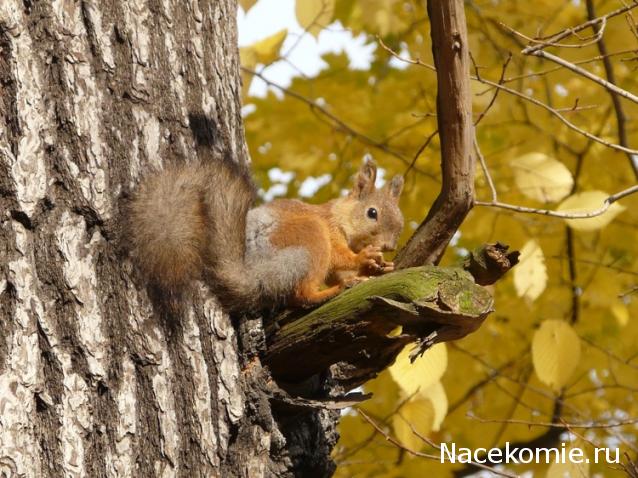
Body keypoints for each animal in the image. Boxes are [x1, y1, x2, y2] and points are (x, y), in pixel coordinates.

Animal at [125, 157, 404, 312]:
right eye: (372, 213)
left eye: (400, 223)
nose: (389, 246)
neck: (341, 217)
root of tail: (254, 275)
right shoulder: (330, 229)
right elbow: (340, 258)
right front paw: (363, 259)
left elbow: (341, 269)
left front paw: (378, 267)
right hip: (309, 238)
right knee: (302, 295)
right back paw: (332, 291)